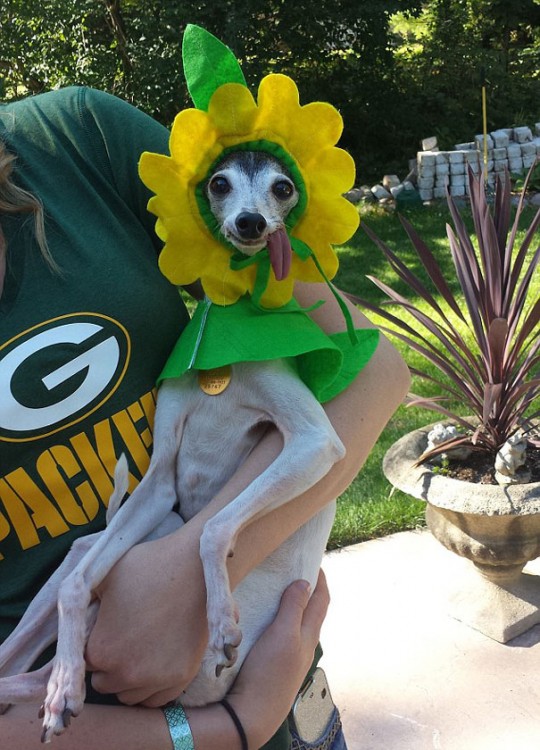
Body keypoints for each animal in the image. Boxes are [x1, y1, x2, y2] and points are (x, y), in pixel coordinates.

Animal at [0, 150, 346, 744]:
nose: (249, 223)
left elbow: (211, 529)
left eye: (283, 187)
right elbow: (75, 589)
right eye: (218, 182)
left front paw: (220, 622)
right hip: (116, 537)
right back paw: (60, 684)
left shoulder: (315, 442)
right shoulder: (160, 481)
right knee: (40, 632)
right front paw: (66, 685)